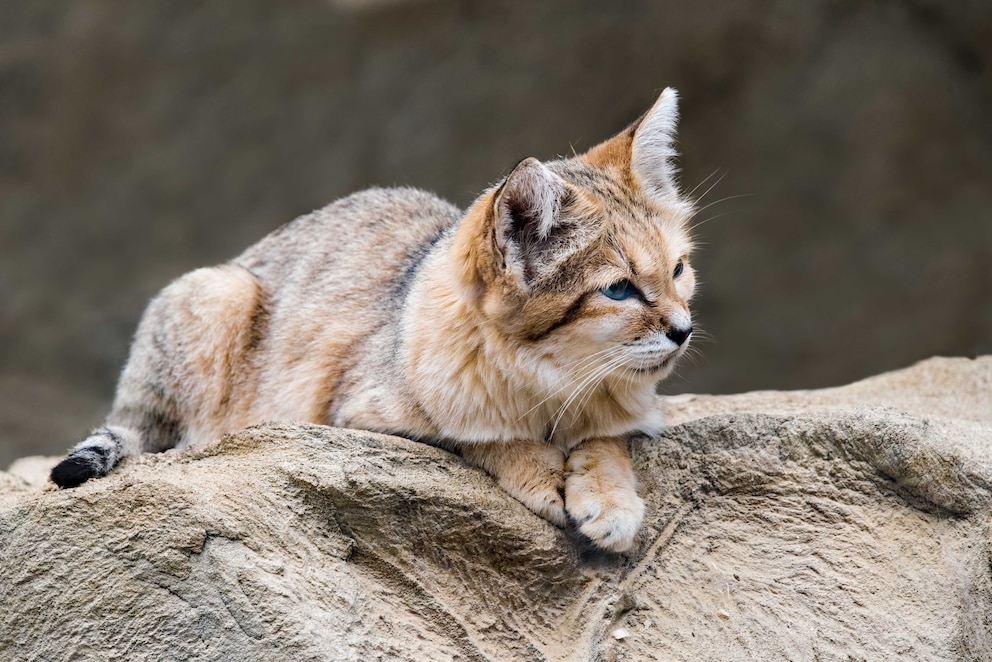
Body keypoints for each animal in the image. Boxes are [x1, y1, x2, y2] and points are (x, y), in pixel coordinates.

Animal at [50, 88, 692, 556]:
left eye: (679, 269)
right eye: (618, 290)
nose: (684, 330)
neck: (553, 383)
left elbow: (609, 439)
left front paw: (609, 497)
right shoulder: (357, 414)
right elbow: (475, 435)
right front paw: (538, 471)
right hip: (216, 295)